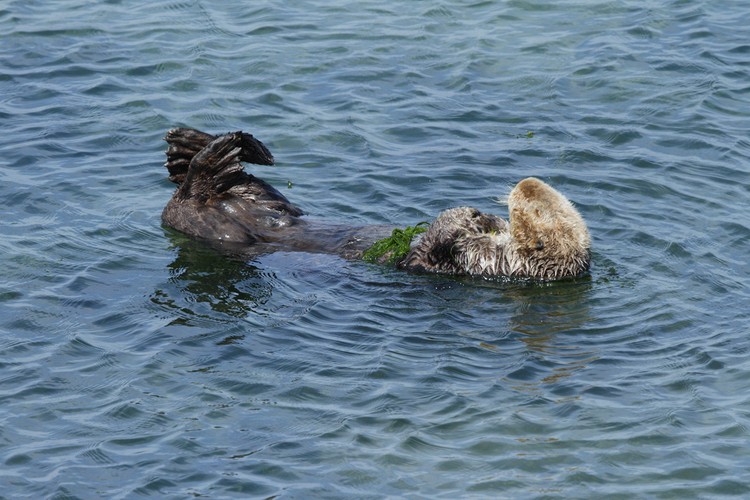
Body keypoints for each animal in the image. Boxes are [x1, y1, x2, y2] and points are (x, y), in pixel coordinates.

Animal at [161, 128, 590, 280]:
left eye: (533, 209)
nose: (525, 182)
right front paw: (479, 215)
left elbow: (433, 249)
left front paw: (464, 217)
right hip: (260, 197)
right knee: (238, 182)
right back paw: (206, 145)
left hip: (212, 226)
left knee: (191, 196)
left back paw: (209, 154)